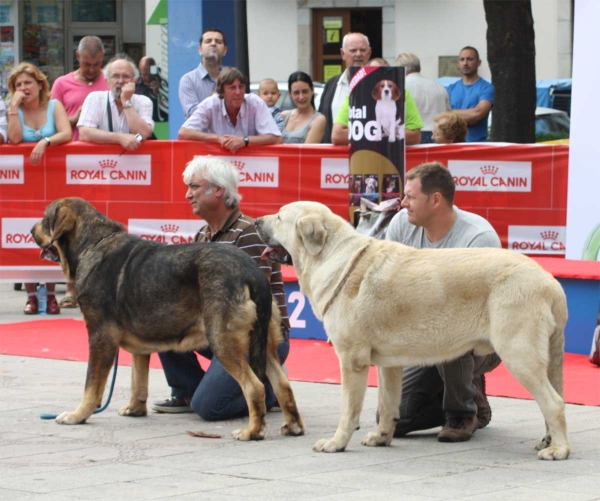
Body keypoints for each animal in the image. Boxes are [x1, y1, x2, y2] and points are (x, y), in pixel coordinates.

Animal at [31, 197, 304, 440]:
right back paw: (292, 426)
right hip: (263, 343)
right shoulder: (139, 347)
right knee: (283, 385)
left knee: (255, 387)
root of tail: (253, 273)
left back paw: (252, 432)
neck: (94, 242)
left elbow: (92, 386)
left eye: (45, 219)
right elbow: (138, 380)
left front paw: (78, 415)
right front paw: (135, 409)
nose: (31, 230)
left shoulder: (100, 338)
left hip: (223, 341)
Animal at [255, 201, 568, 458]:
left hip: (518, 354)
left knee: (554, 402)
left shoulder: (352, 361)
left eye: (279, 217)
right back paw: (549, 440)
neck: (330, 257)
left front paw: (336, 443)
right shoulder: (388, 365)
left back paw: (559, 450)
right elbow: (388, 404)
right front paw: (382, 438)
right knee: (554, 397)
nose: (257, 221)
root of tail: (549, 281)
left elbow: (348, 410)